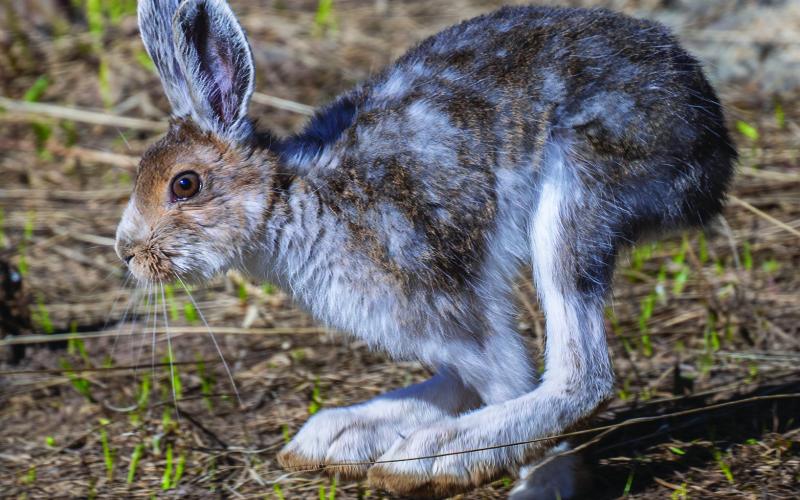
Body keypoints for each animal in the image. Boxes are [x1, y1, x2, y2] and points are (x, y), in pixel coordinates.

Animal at [117, 0, 736, 497]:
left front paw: (544, 479)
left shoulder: (449, 307)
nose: (127, 252)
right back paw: (346, 434)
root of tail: (710, 132)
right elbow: (469, 377)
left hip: (577, 197)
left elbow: (511, 378)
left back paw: (433, 458)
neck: (289, 200)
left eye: (185, 184)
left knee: (582, 376)